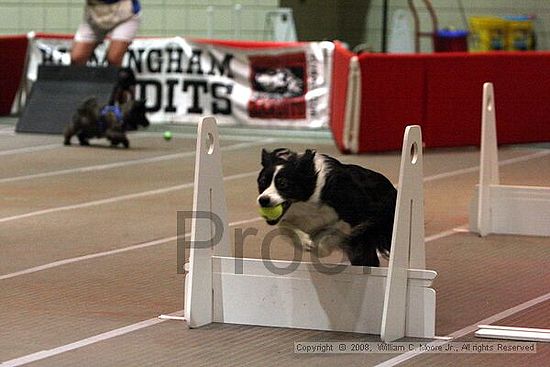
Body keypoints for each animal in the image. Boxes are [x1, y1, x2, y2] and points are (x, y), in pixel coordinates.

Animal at [256, 149, 398, 268]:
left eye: (283, 184)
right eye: (262, 182)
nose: (263, 200)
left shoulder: (356, 215)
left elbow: (332, 232)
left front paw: (320, 246)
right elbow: (285, 226)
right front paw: (305, 241)